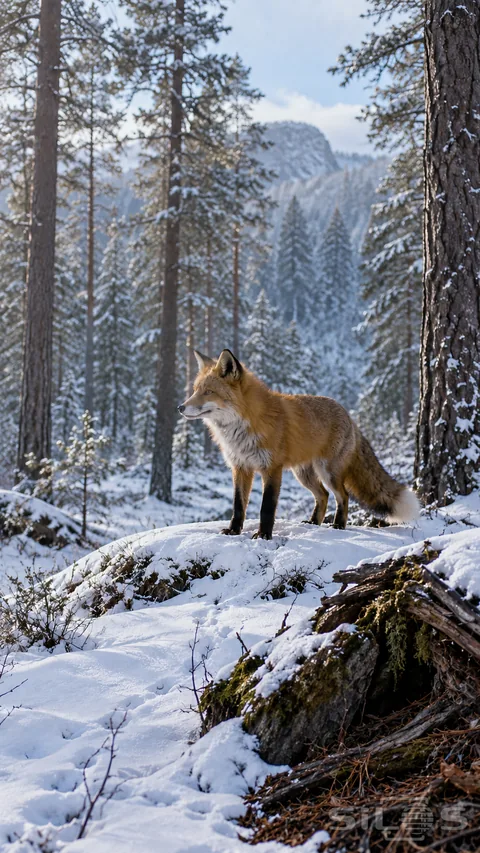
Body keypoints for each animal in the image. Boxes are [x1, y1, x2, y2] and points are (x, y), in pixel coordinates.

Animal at [178, 349, 420, 540]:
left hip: (328, 472)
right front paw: (234, 531)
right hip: (303, 475)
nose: (180, 407)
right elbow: (238, 506)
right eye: (195, 390)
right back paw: (314, 522)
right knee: (323, 496)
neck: (244, 425)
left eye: (208, 392)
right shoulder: (240, 467)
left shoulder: (272, 468)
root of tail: (349, 416)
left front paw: (264, 535)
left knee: (342, 496)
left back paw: (338, 525)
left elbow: (267, 507)